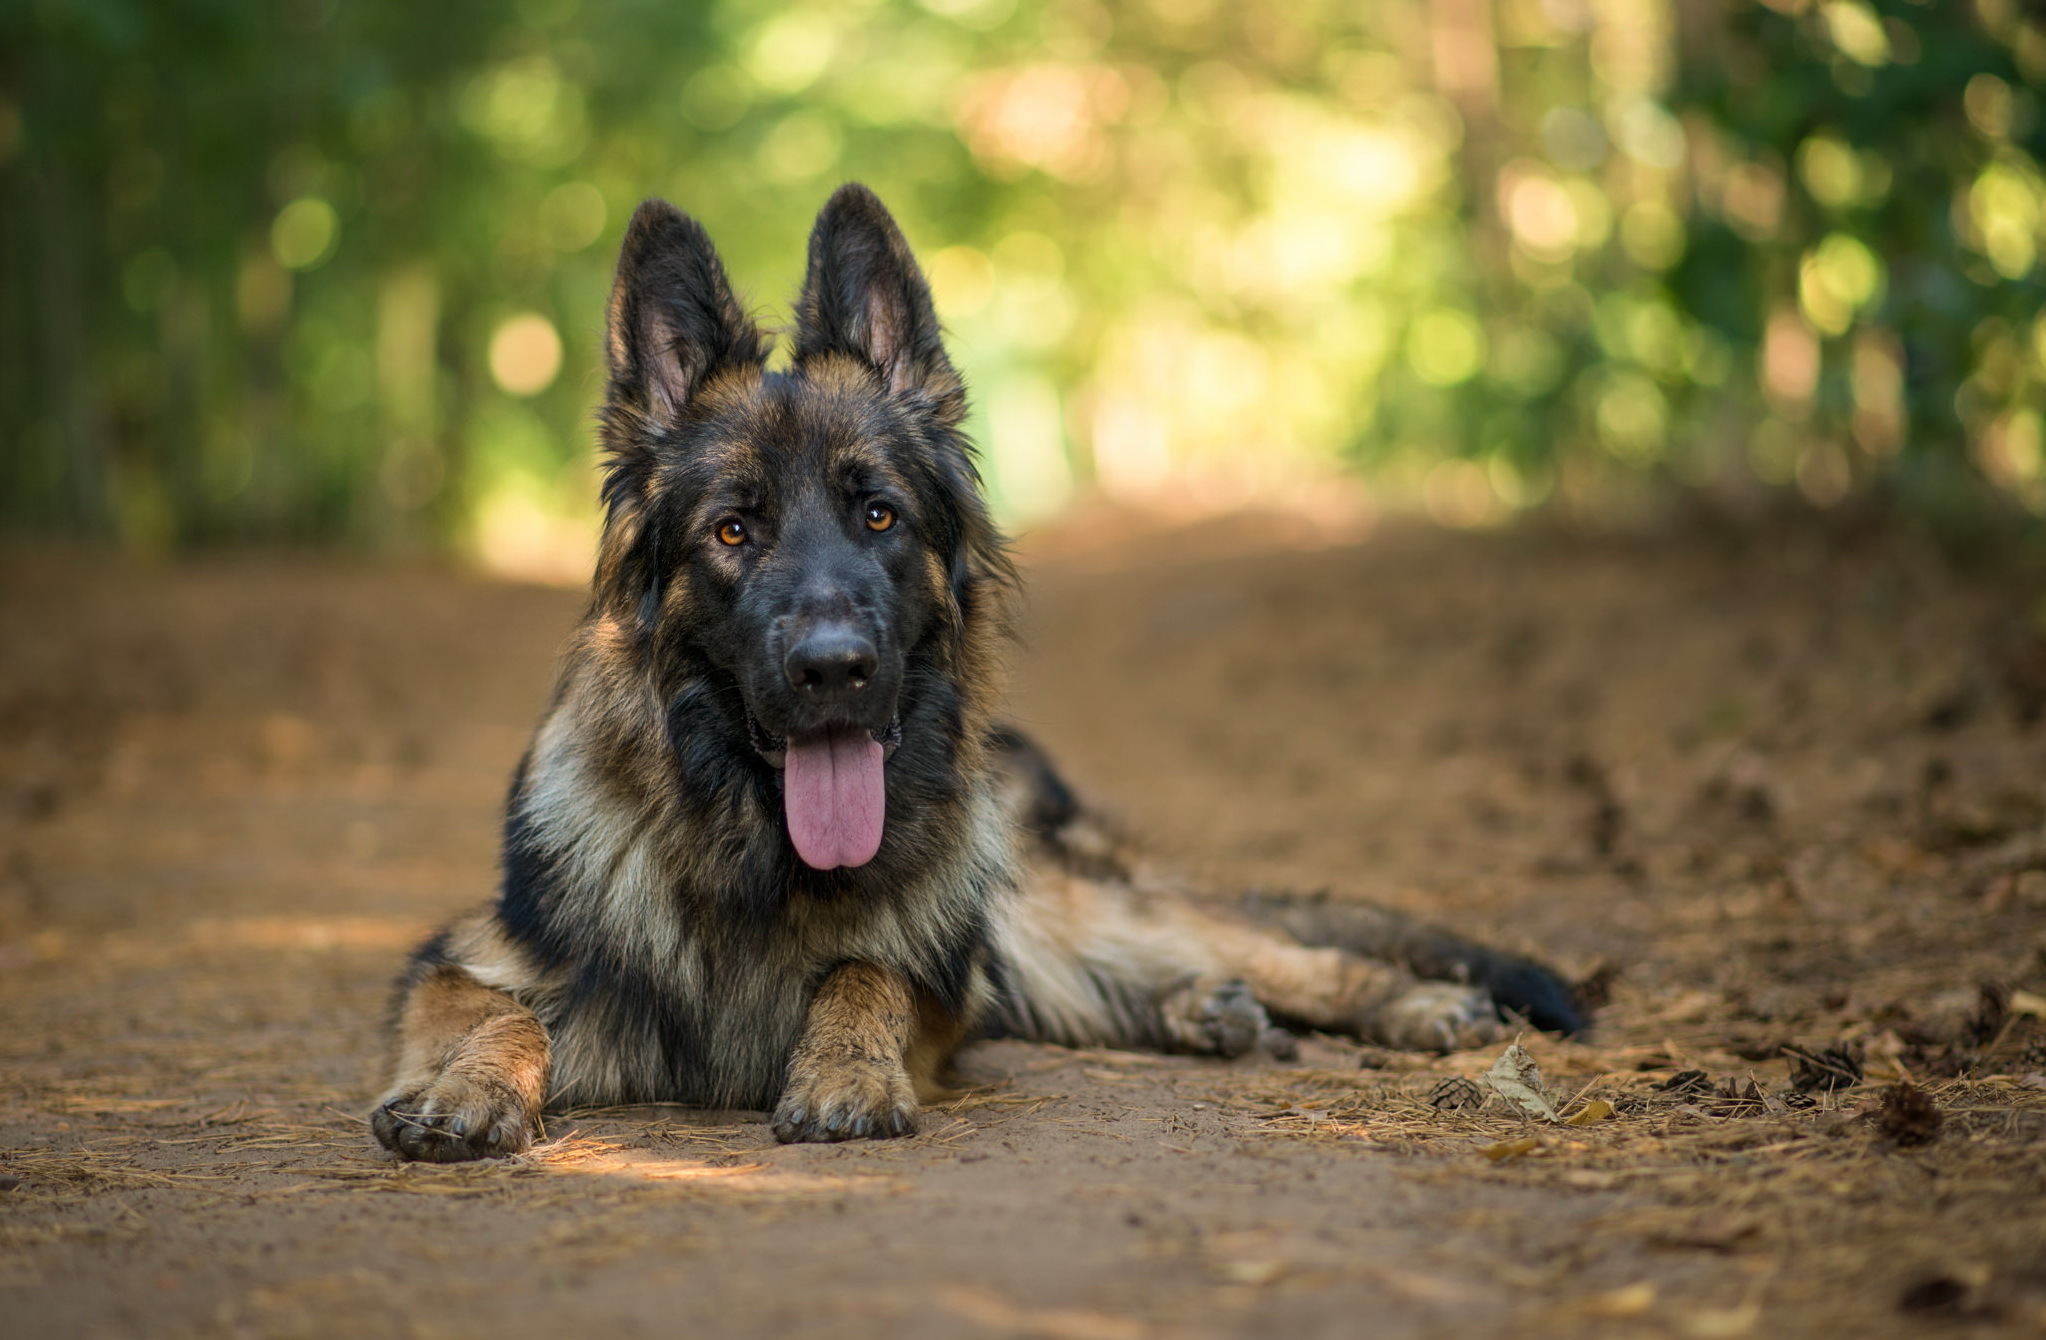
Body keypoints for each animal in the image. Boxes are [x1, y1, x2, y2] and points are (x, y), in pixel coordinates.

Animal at [372, 183, 1579, 1162]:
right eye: (732, 531)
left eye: (879, 514)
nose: (835, 671)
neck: (755, 854)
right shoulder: (456, 959)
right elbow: (505, 1011)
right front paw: (464, 1091)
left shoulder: (937, 989)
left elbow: (867, 971)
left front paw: (845, 1070)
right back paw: (1207, 1009)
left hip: (1059, 916)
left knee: (1280, 949)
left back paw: (1415, 1004)